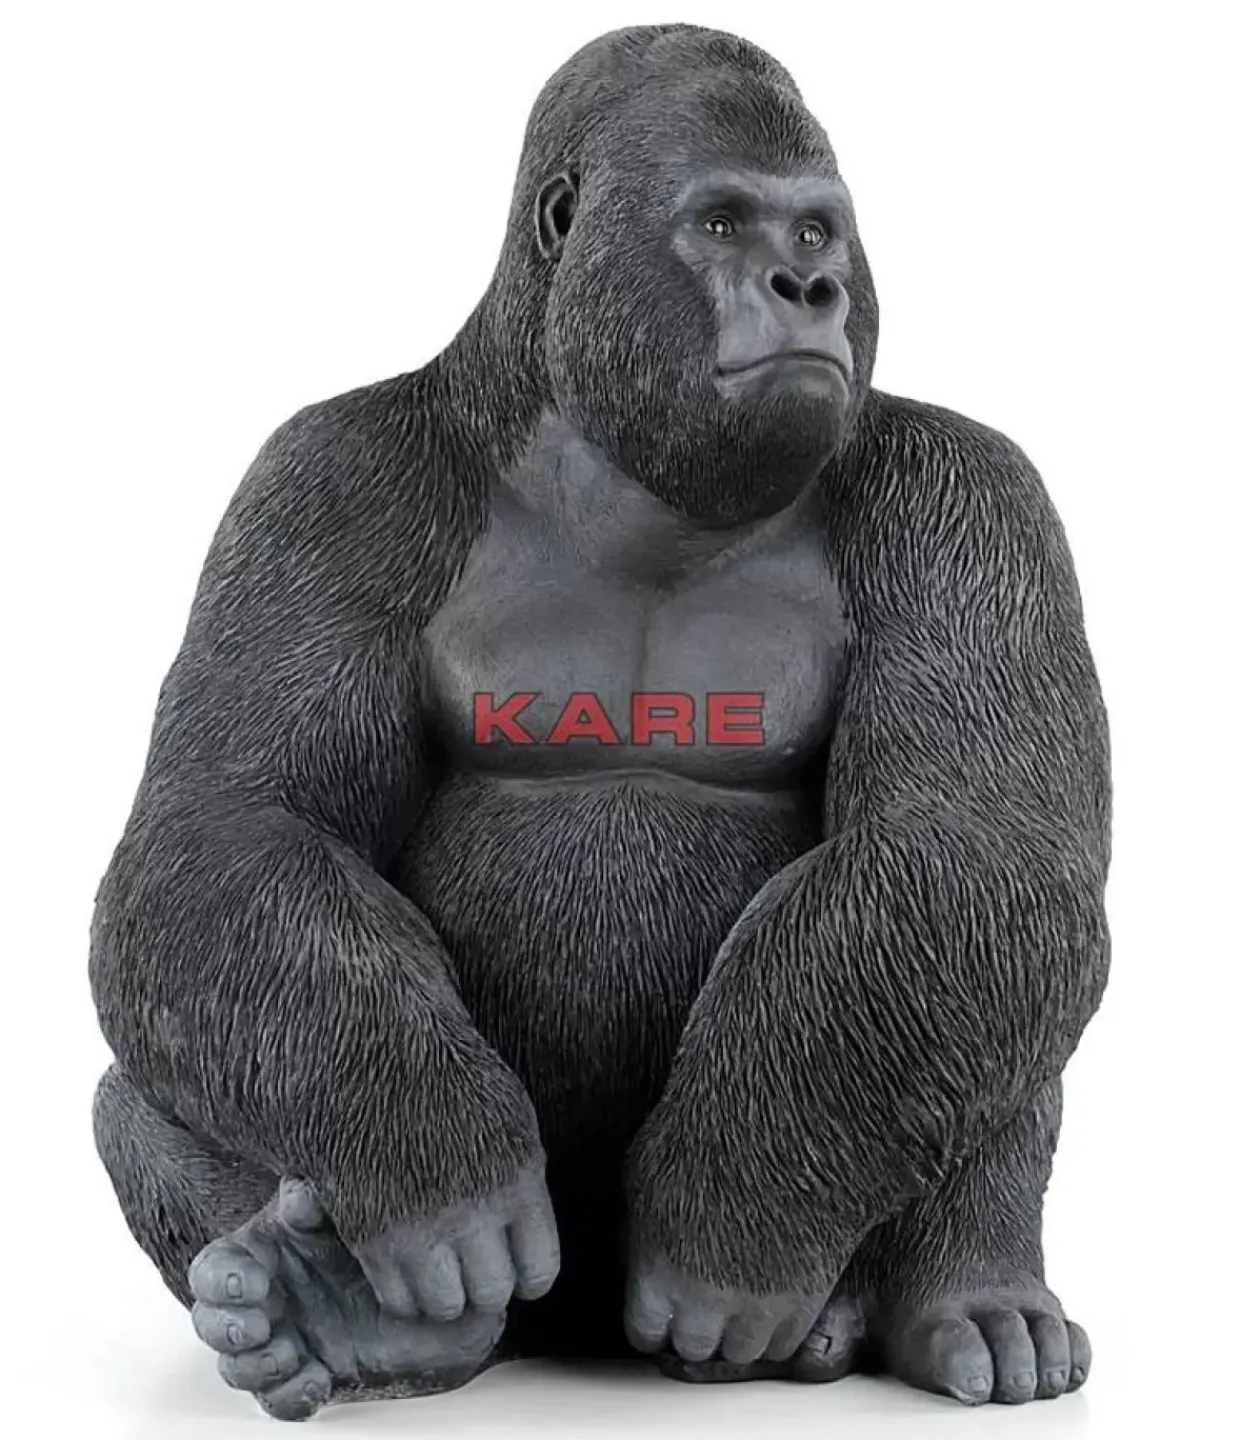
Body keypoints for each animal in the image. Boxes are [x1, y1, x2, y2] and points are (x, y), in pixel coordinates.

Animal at [90, 23, 1109, 1420]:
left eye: (817, 229)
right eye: (723, 222)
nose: (811, 289)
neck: (605, 445)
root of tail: (574, 1336)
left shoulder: (976, 491)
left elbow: (970, 850)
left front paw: (731, 1219)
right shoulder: (322, 476)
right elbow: (229, 830)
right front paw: (436, 1168)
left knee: (996, 931)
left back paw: (959, 1298)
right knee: (153, 1056)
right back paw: (348, 1319)